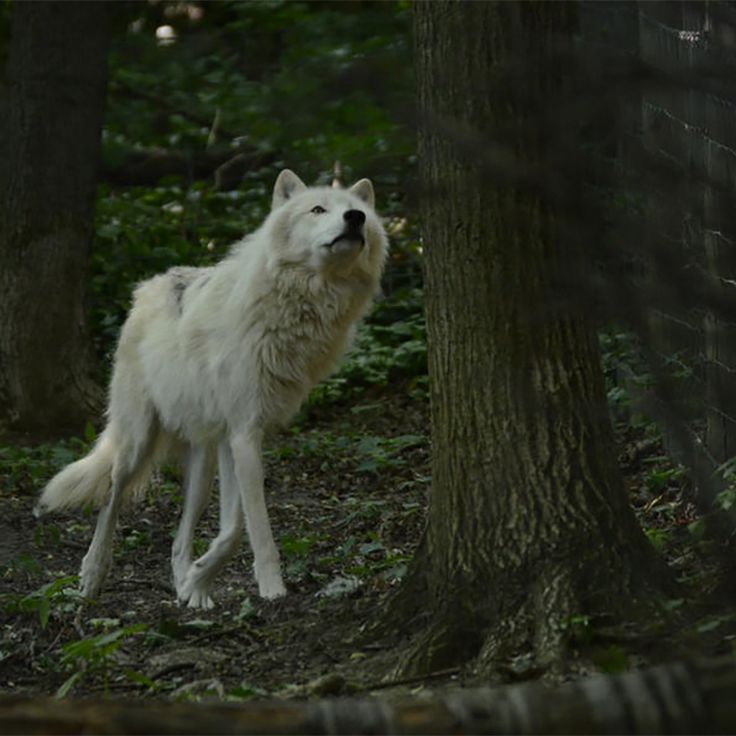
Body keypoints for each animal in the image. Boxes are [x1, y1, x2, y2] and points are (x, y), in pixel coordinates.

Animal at [37, 170, 388, 608]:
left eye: (356, 212)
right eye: (318, 209)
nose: (356, 218)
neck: (295, 304)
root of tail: (152, 283)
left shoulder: (240, 436)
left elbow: (232, 528)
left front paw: (198, 581)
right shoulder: (243, 434)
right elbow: (252, 528)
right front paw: (273, 589)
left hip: (202, 465)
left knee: (178, 538)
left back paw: (185, 588)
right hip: (137, 441)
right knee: (112, 496)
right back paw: (91, 576)